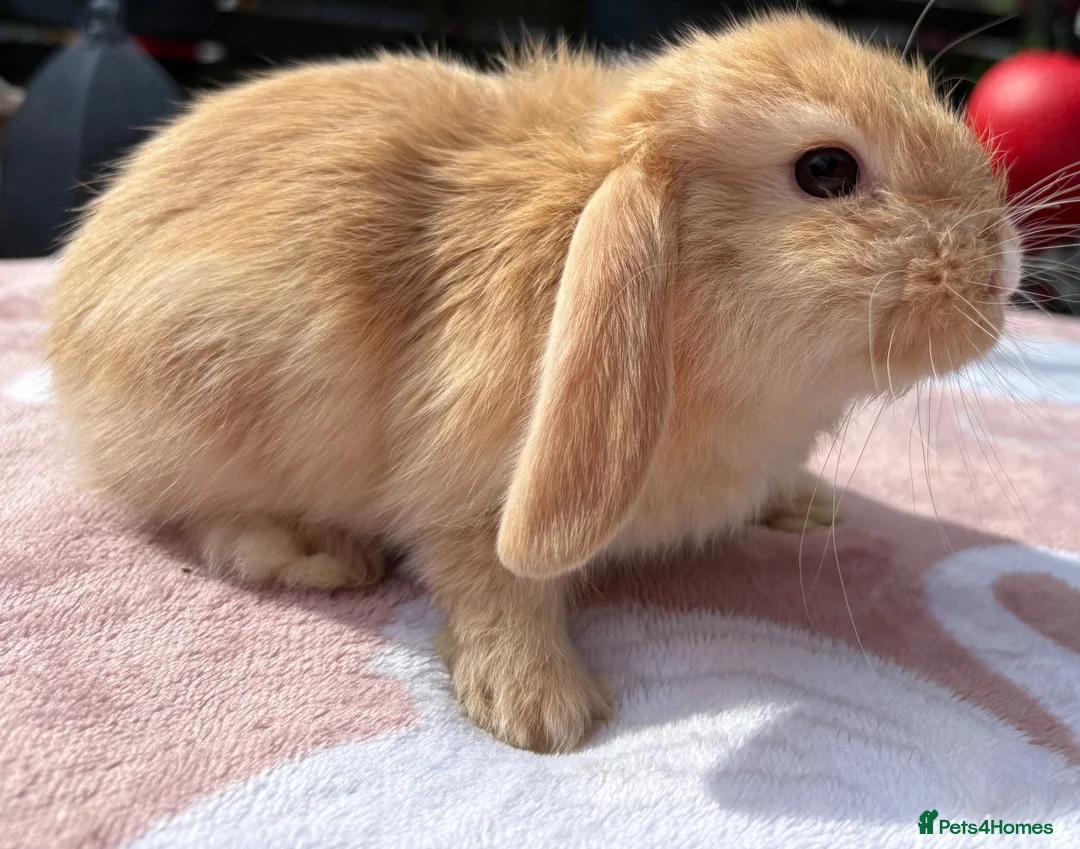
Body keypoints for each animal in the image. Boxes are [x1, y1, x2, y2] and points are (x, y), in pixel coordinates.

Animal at [45, 12, 1021, 753]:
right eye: (827, 170)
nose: (1004, 267)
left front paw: (807, 501)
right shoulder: (467, 496)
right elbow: (491, 581)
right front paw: (542, 710)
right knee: (191, 513)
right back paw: (314, 552)